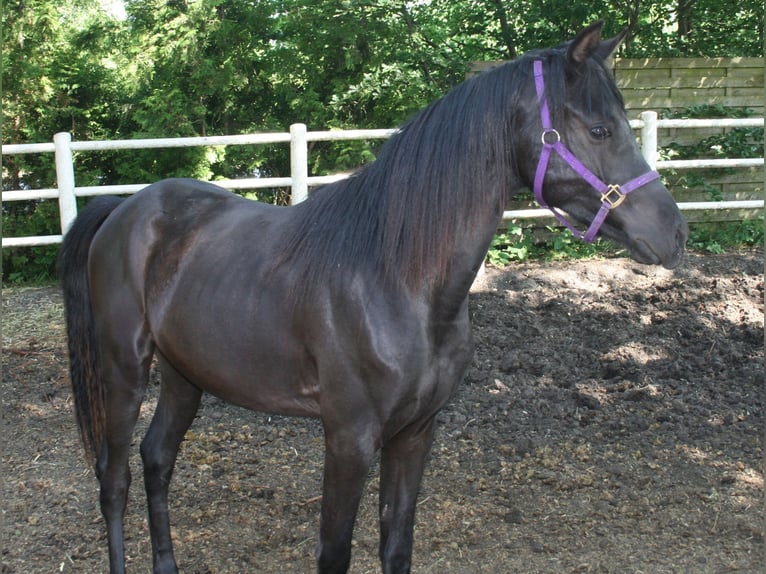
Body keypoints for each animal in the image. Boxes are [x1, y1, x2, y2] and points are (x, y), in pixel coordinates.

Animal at [58, 22, 684, 574]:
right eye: (599, 130)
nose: (674, 233)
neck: (398, 280)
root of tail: (124, 207)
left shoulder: (415, 433)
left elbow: (395, 547)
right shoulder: (349, 439)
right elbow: (334, 554)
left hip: (186, 376)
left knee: (157, 459)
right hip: (124, 372)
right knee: (113, 480)